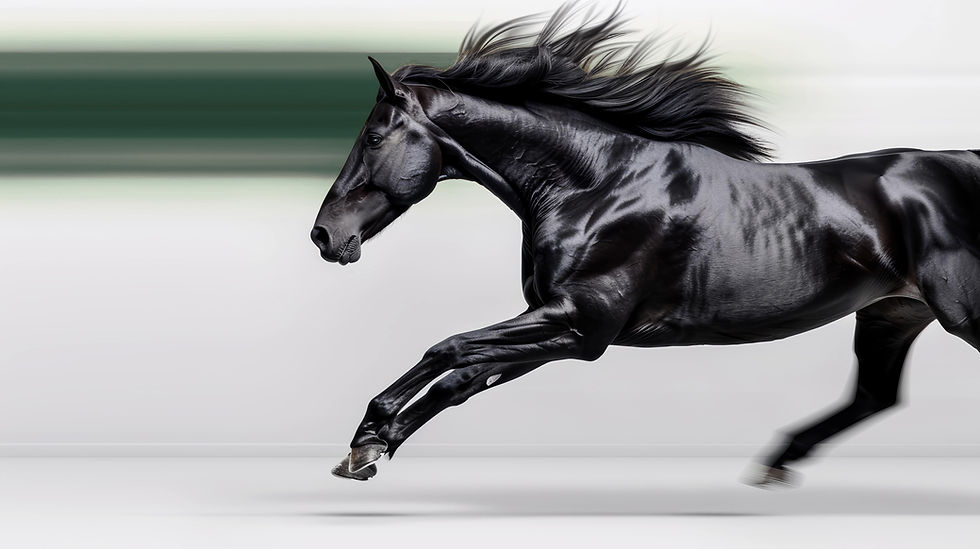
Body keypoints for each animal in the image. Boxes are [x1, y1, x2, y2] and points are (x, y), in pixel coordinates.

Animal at [310, 5, 980, 486]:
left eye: (373, 137)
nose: (324, 236)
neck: (596, 186)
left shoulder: (583, 323)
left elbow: (447, 347)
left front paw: (370, 430)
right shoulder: (564, 325)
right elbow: (461, 377)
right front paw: (369, 451)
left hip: (959, 312)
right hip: (892, 313)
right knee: (874, 396)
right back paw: (776, 464)